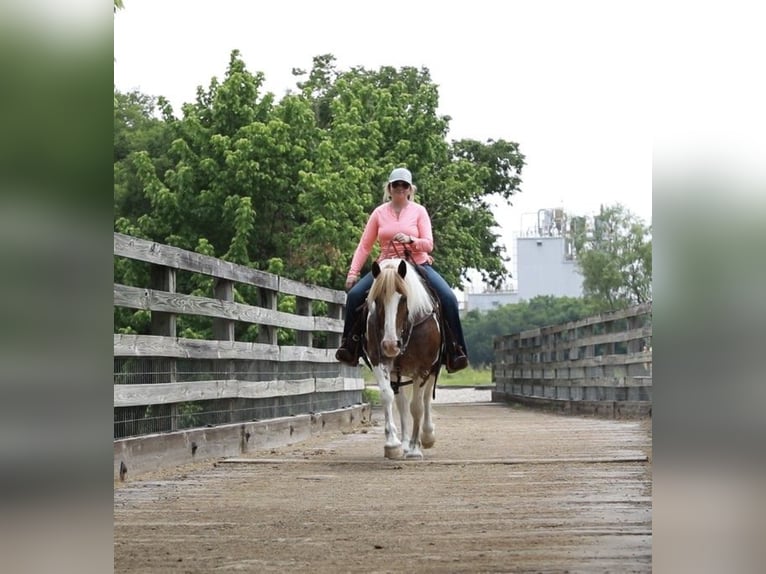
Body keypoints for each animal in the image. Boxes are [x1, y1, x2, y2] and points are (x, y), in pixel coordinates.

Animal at [364, 258, 443, 459]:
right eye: (377, 299)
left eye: (404, 299)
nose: (391, 344)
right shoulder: (379, 361)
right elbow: (388, 396)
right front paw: (393, 444)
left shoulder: (423, 368)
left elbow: (417, 407)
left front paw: (416, 448)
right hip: (397, 372)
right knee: (402, 404)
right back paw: (405, 443)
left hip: (431, 369)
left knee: (425, 399)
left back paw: (427, 436)